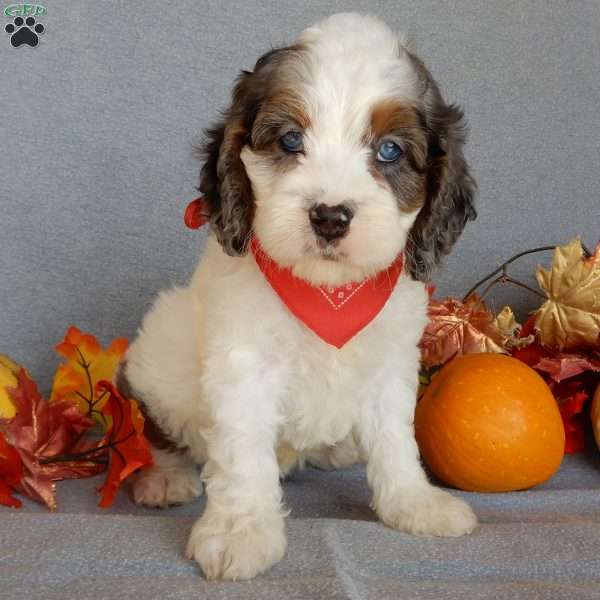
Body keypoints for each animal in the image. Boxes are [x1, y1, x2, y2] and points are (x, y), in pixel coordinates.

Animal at [119, 11, 480, 580]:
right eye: (290, 140)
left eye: (390, 151)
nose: (329, 216)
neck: (326, 292)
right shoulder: (242, 362)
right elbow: (243, 452)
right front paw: (239, 530)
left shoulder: (391, 359)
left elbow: (395, 437)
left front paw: (413, 503)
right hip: (159, 347)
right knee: (154, 425)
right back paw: (162, 476)